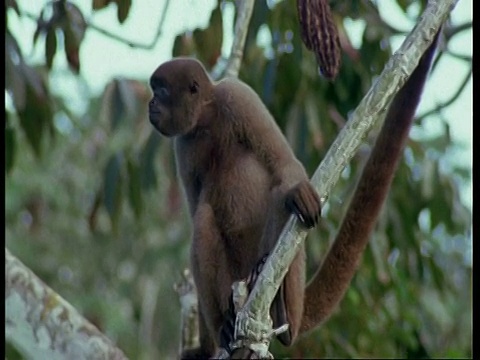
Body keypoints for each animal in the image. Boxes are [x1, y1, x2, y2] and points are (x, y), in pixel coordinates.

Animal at [149, 31, 438, 358]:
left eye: (161, 90)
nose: (150, 103)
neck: (207, 118)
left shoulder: (238, 97)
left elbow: (284, 166)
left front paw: (296, 193)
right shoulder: (183, 142)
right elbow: (194, 209)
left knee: (277, 195)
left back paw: (279, 305)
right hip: (230, 277)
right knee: (204, 217)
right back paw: (225, 326)